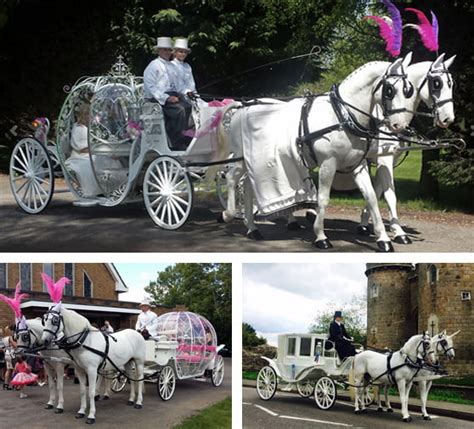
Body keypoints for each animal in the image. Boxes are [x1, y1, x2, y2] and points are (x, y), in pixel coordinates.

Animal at [217, 54, 416, 251]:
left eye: (408, 90)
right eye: (390, 90)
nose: (400, 126)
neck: (342, 115)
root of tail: (242, 107)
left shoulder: (358, 164)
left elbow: (372, 197)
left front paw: (383, 238)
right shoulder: (328, 163)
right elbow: (323, 199)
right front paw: (321, 236)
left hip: (255, 163)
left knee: (248, 186)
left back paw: (252, 228)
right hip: (240, 158)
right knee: (232, 179)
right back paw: (228, 214)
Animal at [360, 52, 456, 241]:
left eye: (451, 84)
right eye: (437, 83)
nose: (448, 119)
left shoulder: (386, 161)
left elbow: (377, 190)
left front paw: (366, 223)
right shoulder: (384, 159)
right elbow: (390, 195)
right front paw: (399, 232)